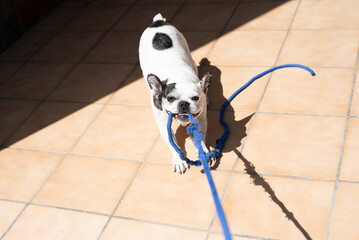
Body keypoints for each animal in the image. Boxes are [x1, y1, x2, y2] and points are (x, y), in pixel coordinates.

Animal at [138, 13, 211, 173]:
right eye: (170, 98)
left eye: (195, 98)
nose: (183, 104)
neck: (179, 77)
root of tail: (158, 23)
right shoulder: (164, 125)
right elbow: (173, 144)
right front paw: (179, 159)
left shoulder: (201, 119)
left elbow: (201, 136)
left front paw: (203, 150)